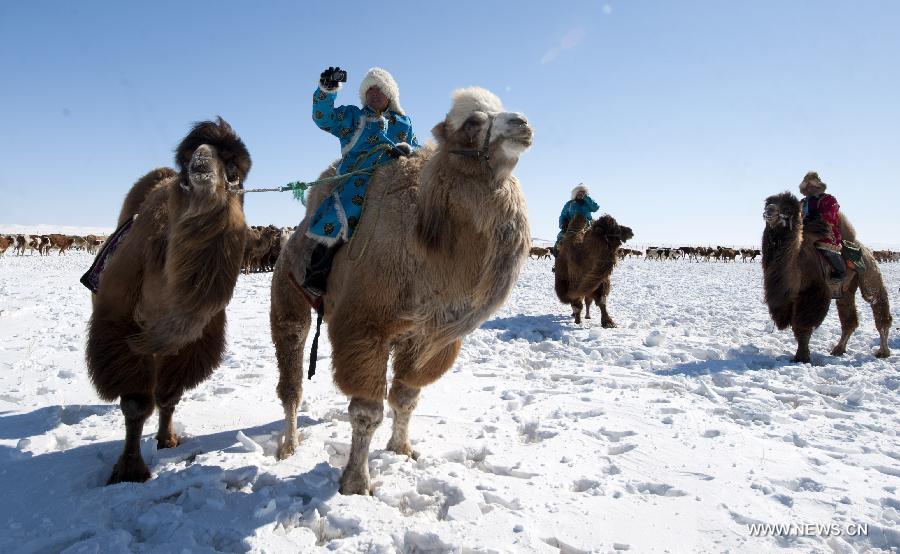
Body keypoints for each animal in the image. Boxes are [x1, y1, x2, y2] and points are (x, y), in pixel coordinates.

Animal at [85, 117, 251, 484]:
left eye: (234, 170)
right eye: (185, 164)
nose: (201, 160)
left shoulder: (192, 344)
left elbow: (169, 396)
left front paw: (167, 440)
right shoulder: (118, 329)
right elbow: (136, 404)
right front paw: (129, 471)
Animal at [270, 88, 532, 494]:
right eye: (473, 122)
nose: (522, 123)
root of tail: (289, 238)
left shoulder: (425, 337)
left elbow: (407, 399)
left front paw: (402, 450)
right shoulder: (365, 327)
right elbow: (366, 413)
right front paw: (356, 482)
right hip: (286, 292)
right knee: (291, 375)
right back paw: (288, 446)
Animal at [760, 191, 892, 362]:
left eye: (787, 208)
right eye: (768, 202)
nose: (769, 210)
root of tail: (866, 250)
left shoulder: (812, 293)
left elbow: (803, 327)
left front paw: (802, 357)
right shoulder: (789, 298)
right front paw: (801, 356)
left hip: (869, 273)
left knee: (877, 302)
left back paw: (883, 352)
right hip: (847, 288)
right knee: (849, 318)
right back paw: (838, 349)